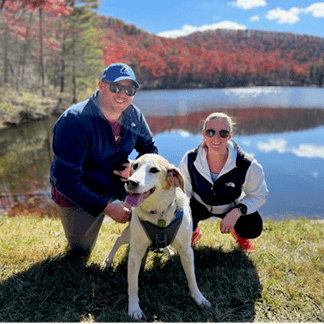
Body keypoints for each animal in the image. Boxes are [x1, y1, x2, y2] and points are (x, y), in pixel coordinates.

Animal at [102, 155, 211, 322]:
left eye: (154, 170)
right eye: (135, 166)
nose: (130, 182)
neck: (158, 211)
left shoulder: (187, 251)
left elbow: (192, 278)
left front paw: (199, 298)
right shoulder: (135, 254)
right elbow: (132, 284)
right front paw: (134, 308)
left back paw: (168, 250)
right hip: (129, 235)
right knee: (118, 240)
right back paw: (108, 260)